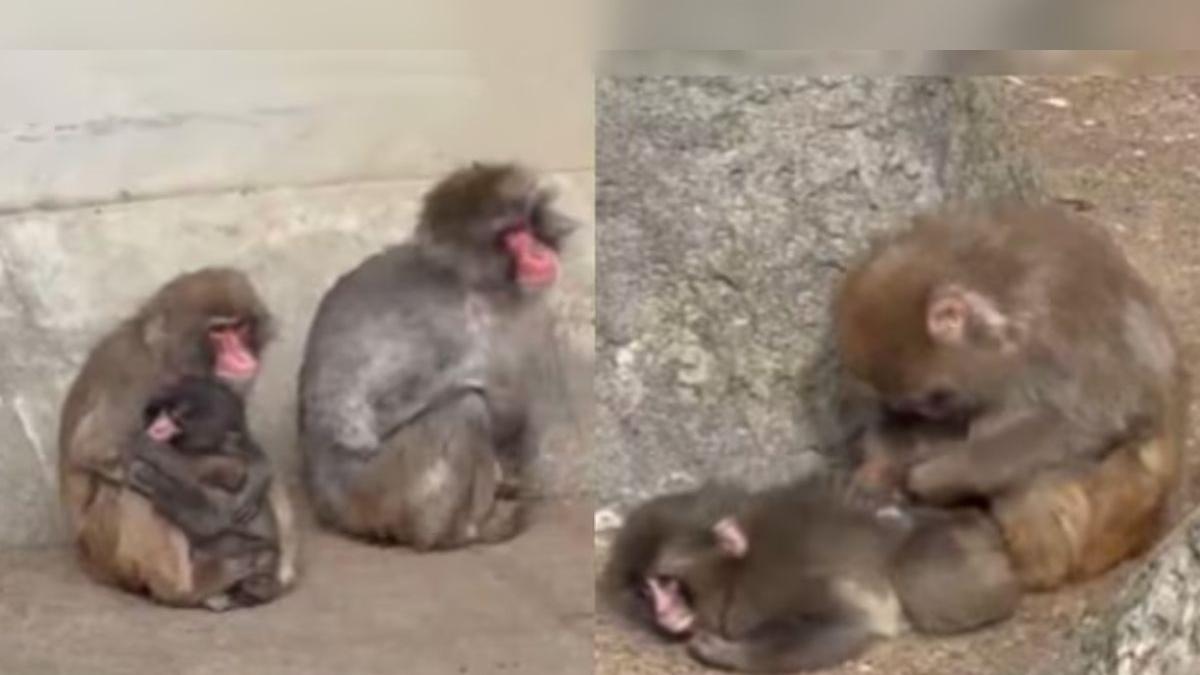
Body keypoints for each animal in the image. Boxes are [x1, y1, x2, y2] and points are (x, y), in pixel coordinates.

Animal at [58, 267, 298, 609]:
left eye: (239, 327)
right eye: (218, 331)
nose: (242, 357)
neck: (170, 359)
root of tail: (83, 556)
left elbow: (239, 439)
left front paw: (258, 471)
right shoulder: (134, 377)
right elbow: (99, 447)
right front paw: (217, 503)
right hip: (104, 553)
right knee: (136, 484)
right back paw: (188, 588)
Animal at [298, 162, 579, 549]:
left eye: (526, 226)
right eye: (510, 236)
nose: (538, 252)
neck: (474, 286)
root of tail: (327, 506)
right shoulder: (443, 328)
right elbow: (357, 416)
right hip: (378, 492)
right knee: (464, 409)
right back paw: (455, 532)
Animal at [600, 477, 1019, 673]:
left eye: (668, 583)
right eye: (647, 589)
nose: (661, 612)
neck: (737, 571)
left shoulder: (769, 587)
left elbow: (847, 623)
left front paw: (726, 653)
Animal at [833, 202, 1188, 591]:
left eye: (936, 398)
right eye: (921, 404)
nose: (931, 414)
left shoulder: (1059, 325)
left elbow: (1094, 418)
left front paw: (938, 476)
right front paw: (879, 468)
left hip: (1120, 501)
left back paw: (1035, 568)